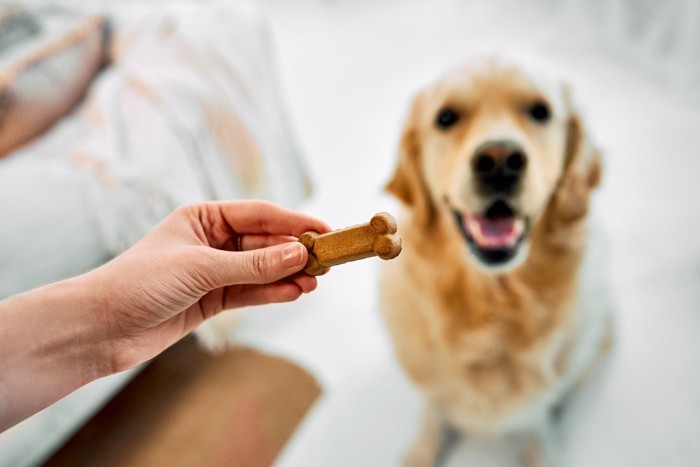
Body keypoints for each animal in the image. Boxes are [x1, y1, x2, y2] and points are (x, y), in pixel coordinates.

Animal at [380, 56, 616, 466]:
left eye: (540, 111)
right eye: (446, 117)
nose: (499, 161)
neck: (494, 306)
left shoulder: (537, 406)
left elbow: (538, 429)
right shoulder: (432, 387)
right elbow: (433, 418)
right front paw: (421, 450)